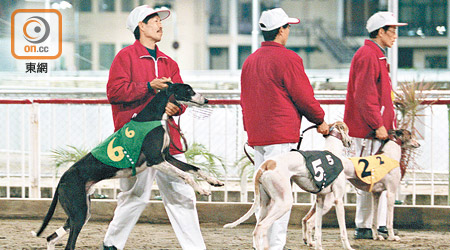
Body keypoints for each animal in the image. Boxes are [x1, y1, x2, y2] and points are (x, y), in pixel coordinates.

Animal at [31, 83, 225, 250]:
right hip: (78, 213)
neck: (155, 116)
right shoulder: (156, 160)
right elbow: (186, 175)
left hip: (80, 213)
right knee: (68, 245)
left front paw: (214, 181)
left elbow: (195, 168)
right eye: (189, 90)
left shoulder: (167, 157)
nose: (207, 100)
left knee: (50, 237)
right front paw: (202, 190)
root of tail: (62, 179)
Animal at [227, 122, 354, 250]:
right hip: (284, 203)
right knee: (261, 227)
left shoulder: (320, 199)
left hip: (265, 204)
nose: (350, 142)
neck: (332, 150)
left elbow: (318, 228)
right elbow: (343, 230)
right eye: (348, 130)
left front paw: (318, 246)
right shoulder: (338, 200)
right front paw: (348, 247)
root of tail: (266, 164)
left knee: (257, 228)